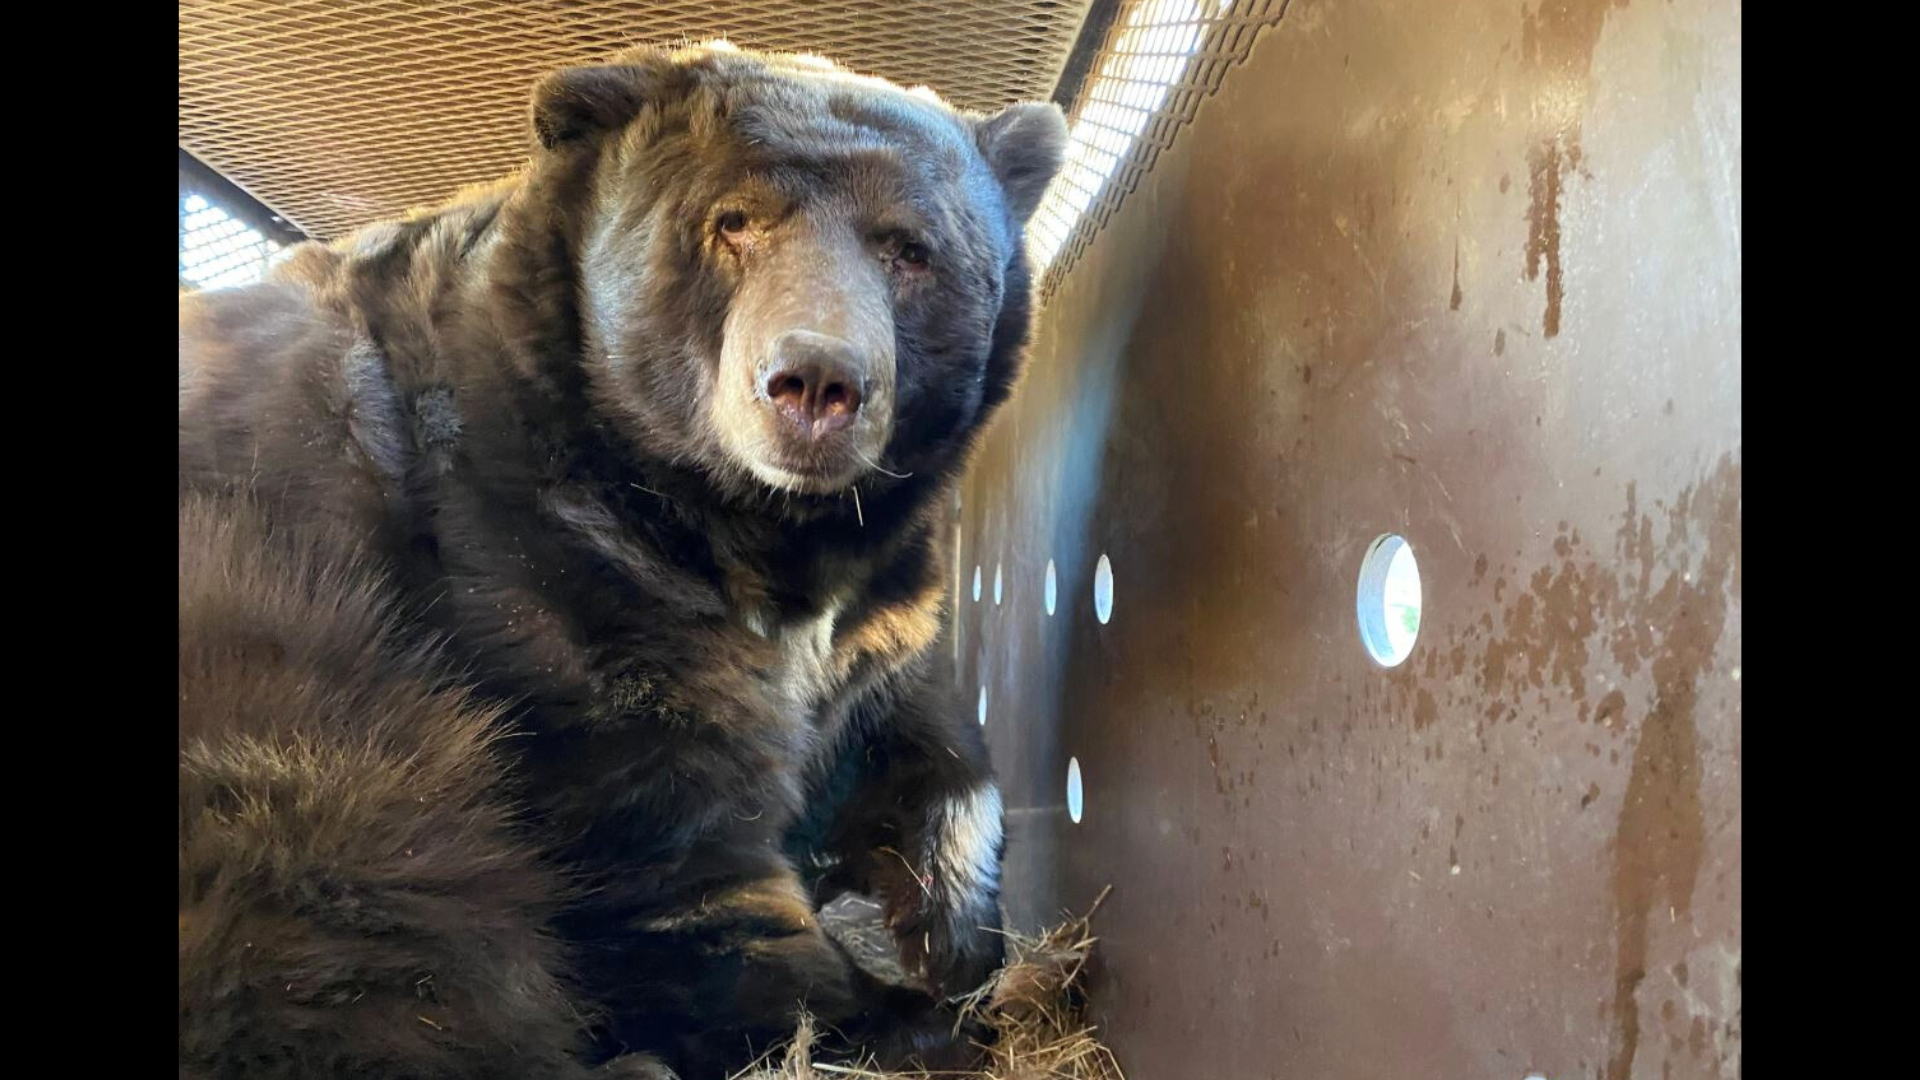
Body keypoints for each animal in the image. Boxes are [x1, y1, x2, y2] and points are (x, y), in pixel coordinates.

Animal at [178, 40, 1067, 1080]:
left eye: (909, 247)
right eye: (733, 221)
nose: (815, 381)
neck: (759, 533)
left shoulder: (878, 614)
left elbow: (924, 740)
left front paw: (952, 934)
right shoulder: (550, 577)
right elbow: (677, 871)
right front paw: (895, 1012)